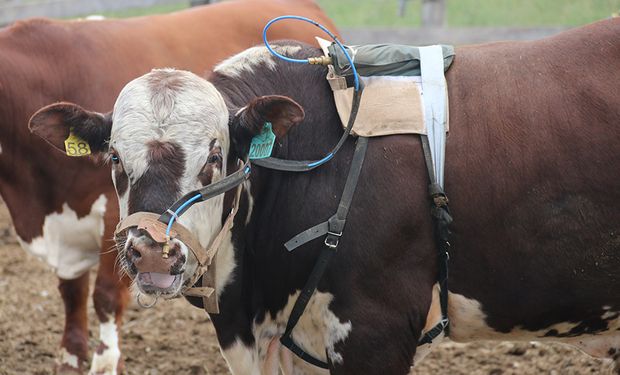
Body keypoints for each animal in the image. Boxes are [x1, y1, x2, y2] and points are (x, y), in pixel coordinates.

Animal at [1, 1, 340, 374]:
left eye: (214, 157)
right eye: (114, 156)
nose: (156, 251)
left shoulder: (111, 217)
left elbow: (104, 294)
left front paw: (106, 359)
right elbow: (71, 290)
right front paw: (71, 356)